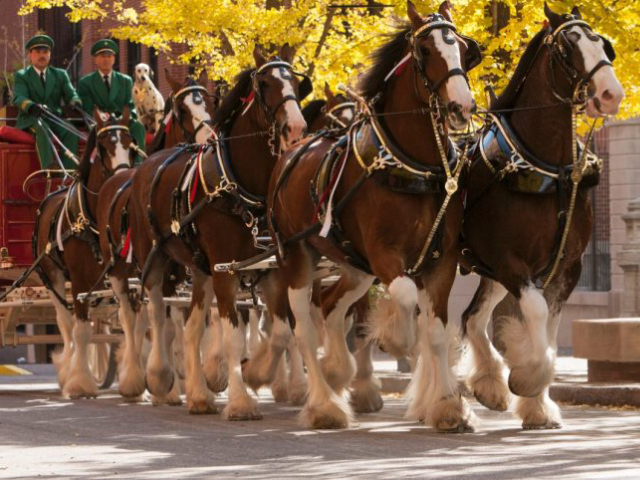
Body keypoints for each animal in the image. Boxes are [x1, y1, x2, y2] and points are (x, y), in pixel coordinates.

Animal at [33, 109, 136, 398]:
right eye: (103, 146)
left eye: (130, 144)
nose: (125, 177)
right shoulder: (78, 281)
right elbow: (80, 333)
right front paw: (79, 383)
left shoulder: (120, 275)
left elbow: (127, 321)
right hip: (53, 278)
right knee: (66, 324)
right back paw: (67, 369)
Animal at [96, 75, 218, 404]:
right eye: (182, 109)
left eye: (210, 100)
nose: (211, 138)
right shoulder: (160, 270)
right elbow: (164, 323)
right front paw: (166, 380)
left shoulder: (186, 270)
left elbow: (187, 322)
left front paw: (196, 376)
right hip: (118, 271)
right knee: (129, 318)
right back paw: (133, 379)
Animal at [125, 45, 310, 416]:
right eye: (265, 83)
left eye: (296, 82)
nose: (296, 127)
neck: (242, 187)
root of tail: (147, 165)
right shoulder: (226, 269)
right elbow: (232, 336)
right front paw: (240, 401)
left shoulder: (270, 269)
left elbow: (281, 332)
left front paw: (256, 374)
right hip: (153, 261)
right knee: (156, 316)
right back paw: (159, 377)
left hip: (201, 270)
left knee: (192, 330)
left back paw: (199, 394)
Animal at [268, 1, 480, 430]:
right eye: (426, 51)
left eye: (465, 50)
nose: (461, 106)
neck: (414, 165)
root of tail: (291, 152)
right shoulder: (385, 254)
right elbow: (406, 299)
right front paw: (396, 339)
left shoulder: (443, 258)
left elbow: (435, 331)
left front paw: (448, 406)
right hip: (297, 258)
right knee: (303, 328)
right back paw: (324, 404)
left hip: (354, 266)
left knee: (331, 306)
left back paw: (337, 370)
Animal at [462, 3, 624, 430]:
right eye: (568, 46)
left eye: (602, 42)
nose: (611, 93)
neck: (545, 167)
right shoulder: (508, 260)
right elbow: (534, 312)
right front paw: (527, 377)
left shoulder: (567, 264)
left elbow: (549, 326)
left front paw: (537, 404)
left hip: (486, 271)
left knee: (471, 317)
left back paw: (487, 385)